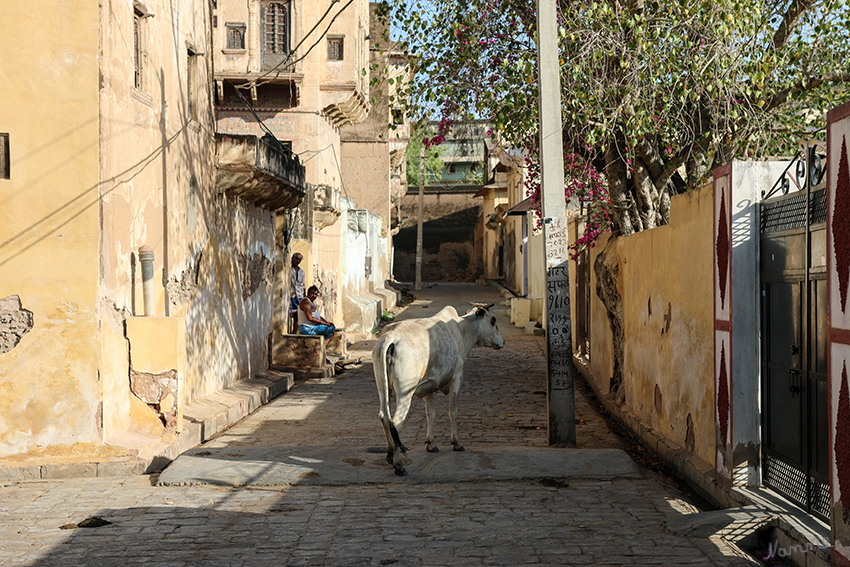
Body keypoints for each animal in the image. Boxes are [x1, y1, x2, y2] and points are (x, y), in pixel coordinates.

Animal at [372, 304, 504, 478]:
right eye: (493, 320)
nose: (502, 341)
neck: (461, 329)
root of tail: (391, 337)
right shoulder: (457, 379)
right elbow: (453, 411)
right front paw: (456, 443)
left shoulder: (429, 387)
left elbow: (431, 414)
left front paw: (431, 444)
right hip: (405, 393)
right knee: (396, 421)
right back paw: (398, 465)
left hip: (383, 387)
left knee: (384, 416)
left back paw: (389, 454)